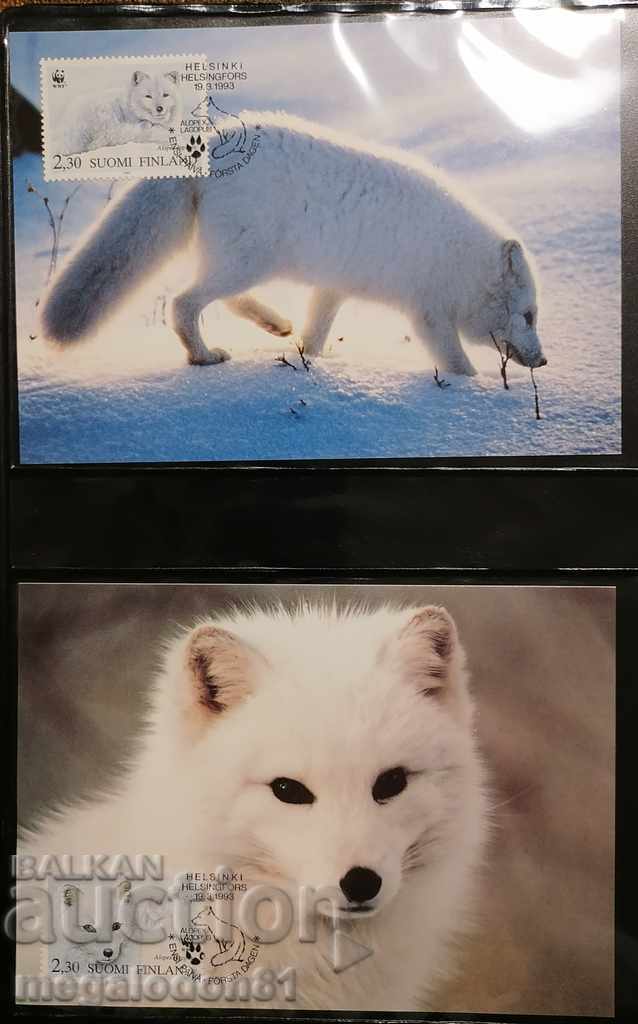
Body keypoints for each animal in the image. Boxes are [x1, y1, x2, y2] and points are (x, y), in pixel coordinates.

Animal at [40, 111, 547, 378]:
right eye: (528, 316)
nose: (543, 360)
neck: (460, 262)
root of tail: (211, 143)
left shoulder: (333, 287)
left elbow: (316, 333)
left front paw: (310, 362)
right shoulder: (428, 315)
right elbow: (459, 364)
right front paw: (475, 393)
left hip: (239, 260)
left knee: (224, 299)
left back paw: (275, 324)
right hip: (249, 260)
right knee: (184, 303)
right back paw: (203, 357)